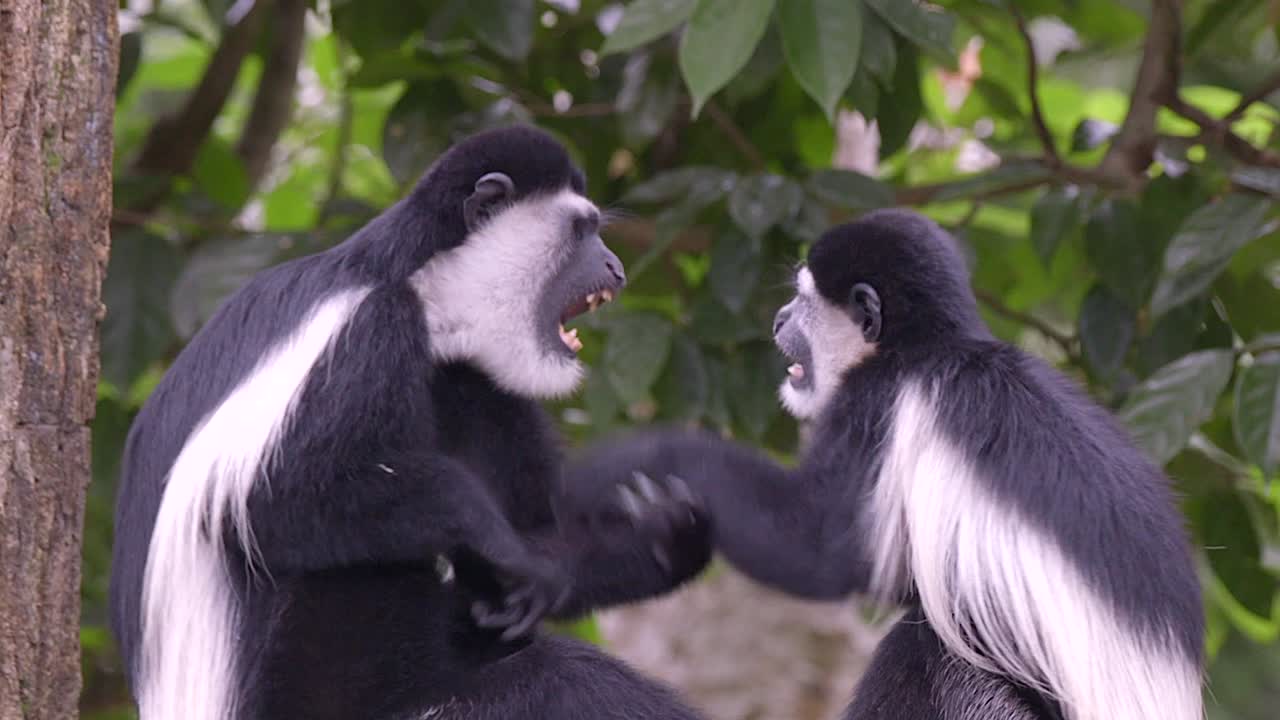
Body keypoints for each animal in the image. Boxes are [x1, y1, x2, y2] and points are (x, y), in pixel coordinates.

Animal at [109, 125, 713, 720]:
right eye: (582, 230)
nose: (617, 268)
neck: (421, 292)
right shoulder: (369, 331)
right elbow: (267, 506)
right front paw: (501, 542)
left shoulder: (473, 373)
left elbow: (542, 525)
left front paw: (664, 533)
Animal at [562, 209, 1204, 720]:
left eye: (803, 300)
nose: (778, 320)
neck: (927, 345)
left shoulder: (874, 401)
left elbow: (817, 550)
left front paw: (632, 458)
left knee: (930, 653)